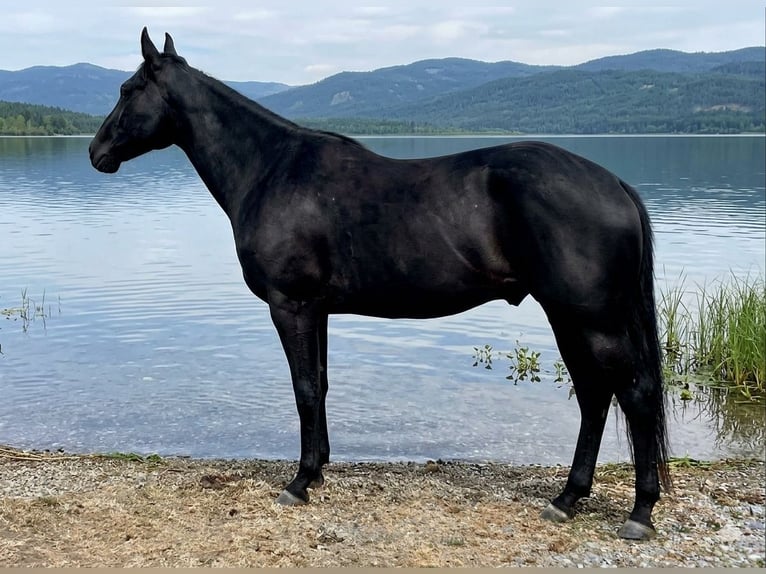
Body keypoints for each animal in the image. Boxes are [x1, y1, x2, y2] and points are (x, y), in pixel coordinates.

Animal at [89, 29, 671, 540]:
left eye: (128, 89)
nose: (97, 152)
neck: (270, 169)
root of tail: (614, 183)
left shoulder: (290, 305)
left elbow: (303, 388)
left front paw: (299, 482)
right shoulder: (317, 309)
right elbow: (321, 384)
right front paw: (319, 468)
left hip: (591, 319)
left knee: (634, 395)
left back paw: (639, 513)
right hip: (569, 317)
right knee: (596, 396)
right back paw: (568, 499)